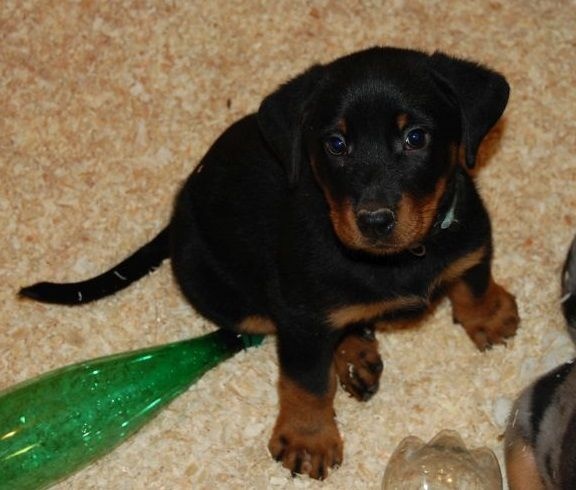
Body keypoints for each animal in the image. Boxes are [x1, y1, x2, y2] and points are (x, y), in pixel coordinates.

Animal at [20, 47, 519, 479]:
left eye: (416, 137)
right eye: (336, 143)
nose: (375, 220)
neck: (398, 260)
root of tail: (179, 210)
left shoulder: (471, 234)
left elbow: (473, 276)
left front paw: (490, 315)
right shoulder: (301, 315)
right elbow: (306, 381)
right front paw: (308, 439)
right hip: (231, 296)